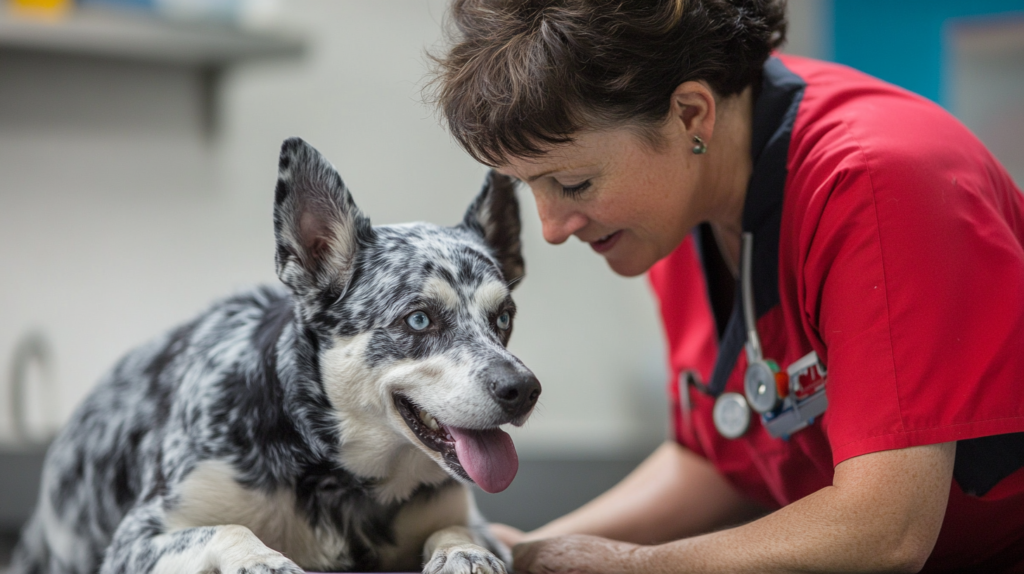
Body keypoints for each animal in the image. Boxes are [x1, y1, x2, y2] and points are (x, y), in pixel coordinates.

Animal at [12, 139, 540, 572]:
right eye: (418, 320)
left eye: (504, 318)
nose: (524, 390)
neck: (335, 476)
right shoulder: (136, 538)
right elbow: (230, 528)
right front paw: (261, 559)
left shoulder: (466, 519)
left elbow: (460, 530)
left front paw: (464, 552)